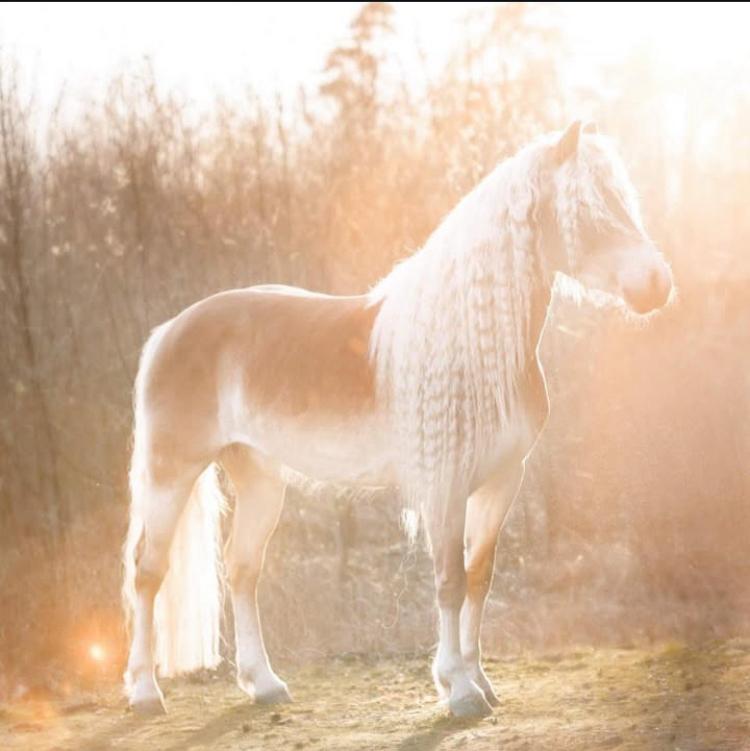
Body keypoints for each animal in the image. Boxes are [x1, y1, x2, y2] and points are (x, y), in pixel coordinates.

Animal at [122, 120, 673, 719]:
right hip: (172, 473)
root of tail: (169, 330)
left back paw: (264, 684)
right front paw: (458, 690)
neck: (470, 341)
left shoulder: (502, 480)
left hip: (259, 478)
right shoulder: (445, 485)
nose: (657, 284)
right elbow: (449, 581)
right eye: (587, 209)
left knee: (242, 569)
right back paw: (146, 692)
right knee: (148, 572)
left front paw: (480, 681)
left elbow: (479, 577)